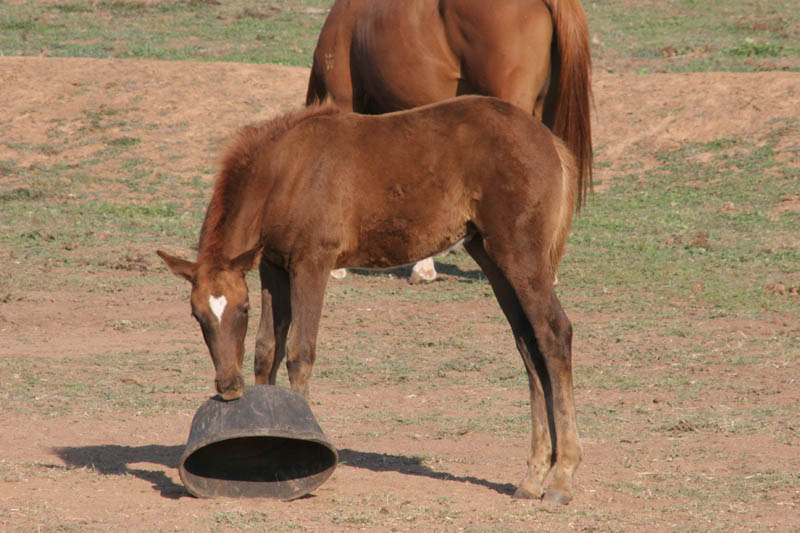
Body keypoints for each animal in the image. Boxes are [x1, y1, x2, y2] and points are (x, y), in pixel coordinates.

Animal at [159, 96, 588, 502]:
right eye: (196, 315)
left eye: (242, 309)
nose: (229, 386)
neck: (284, 171)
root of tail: (549, 141)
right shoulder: (272, 267)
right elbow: (267, 351)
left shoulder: (312, 262)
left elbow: (300, 353)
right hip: (491, 255)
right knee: (528, 344)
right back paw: (533, 476)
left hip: (520, 255)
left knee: (554, 334)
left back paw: (562, 477)